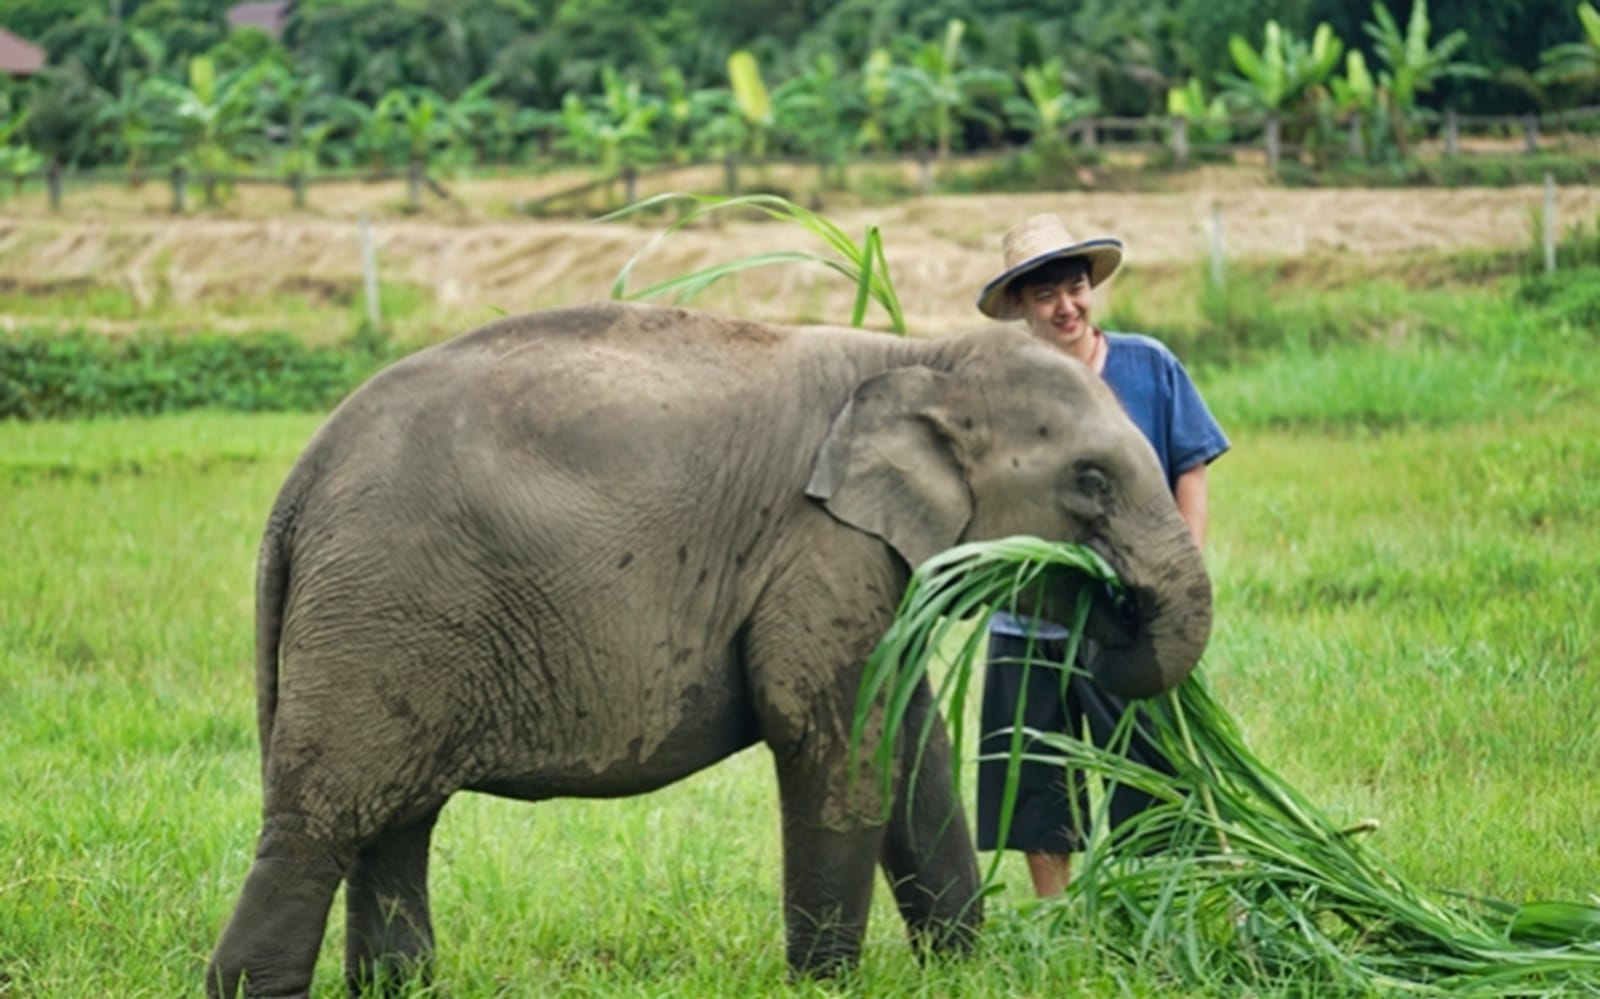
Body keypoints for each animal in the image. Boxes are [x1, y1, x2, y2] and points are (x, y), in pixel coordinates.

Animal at [207, 300, 1212, 997]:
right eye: (1090, 482)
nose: (1113, 615)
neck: (917, 355)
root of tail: (300, 483)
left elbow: (910, 738)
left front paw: (965, 967)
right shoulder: (820, 544)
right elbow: (831, 737)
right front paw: (828, 983)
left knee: (396, 822)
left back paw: (402, 986)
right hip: (383, 608)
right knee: (323, 819)